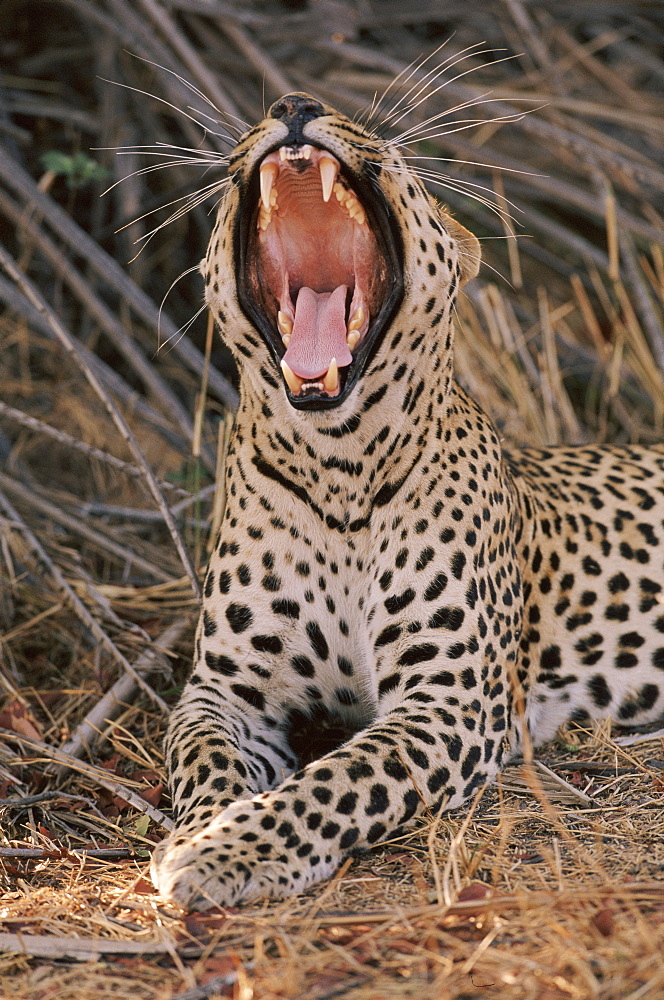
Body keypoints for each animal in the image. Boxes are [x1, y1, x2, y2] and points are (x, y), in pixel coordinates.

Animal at [150, 92, 664, 908]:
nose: (294, 104)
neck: (338, 468)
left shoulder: (446, 700)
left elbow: (334, 780)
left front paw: (224, 850)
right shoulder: (223, 689)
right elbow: (204, 759)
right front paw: (201, 829)